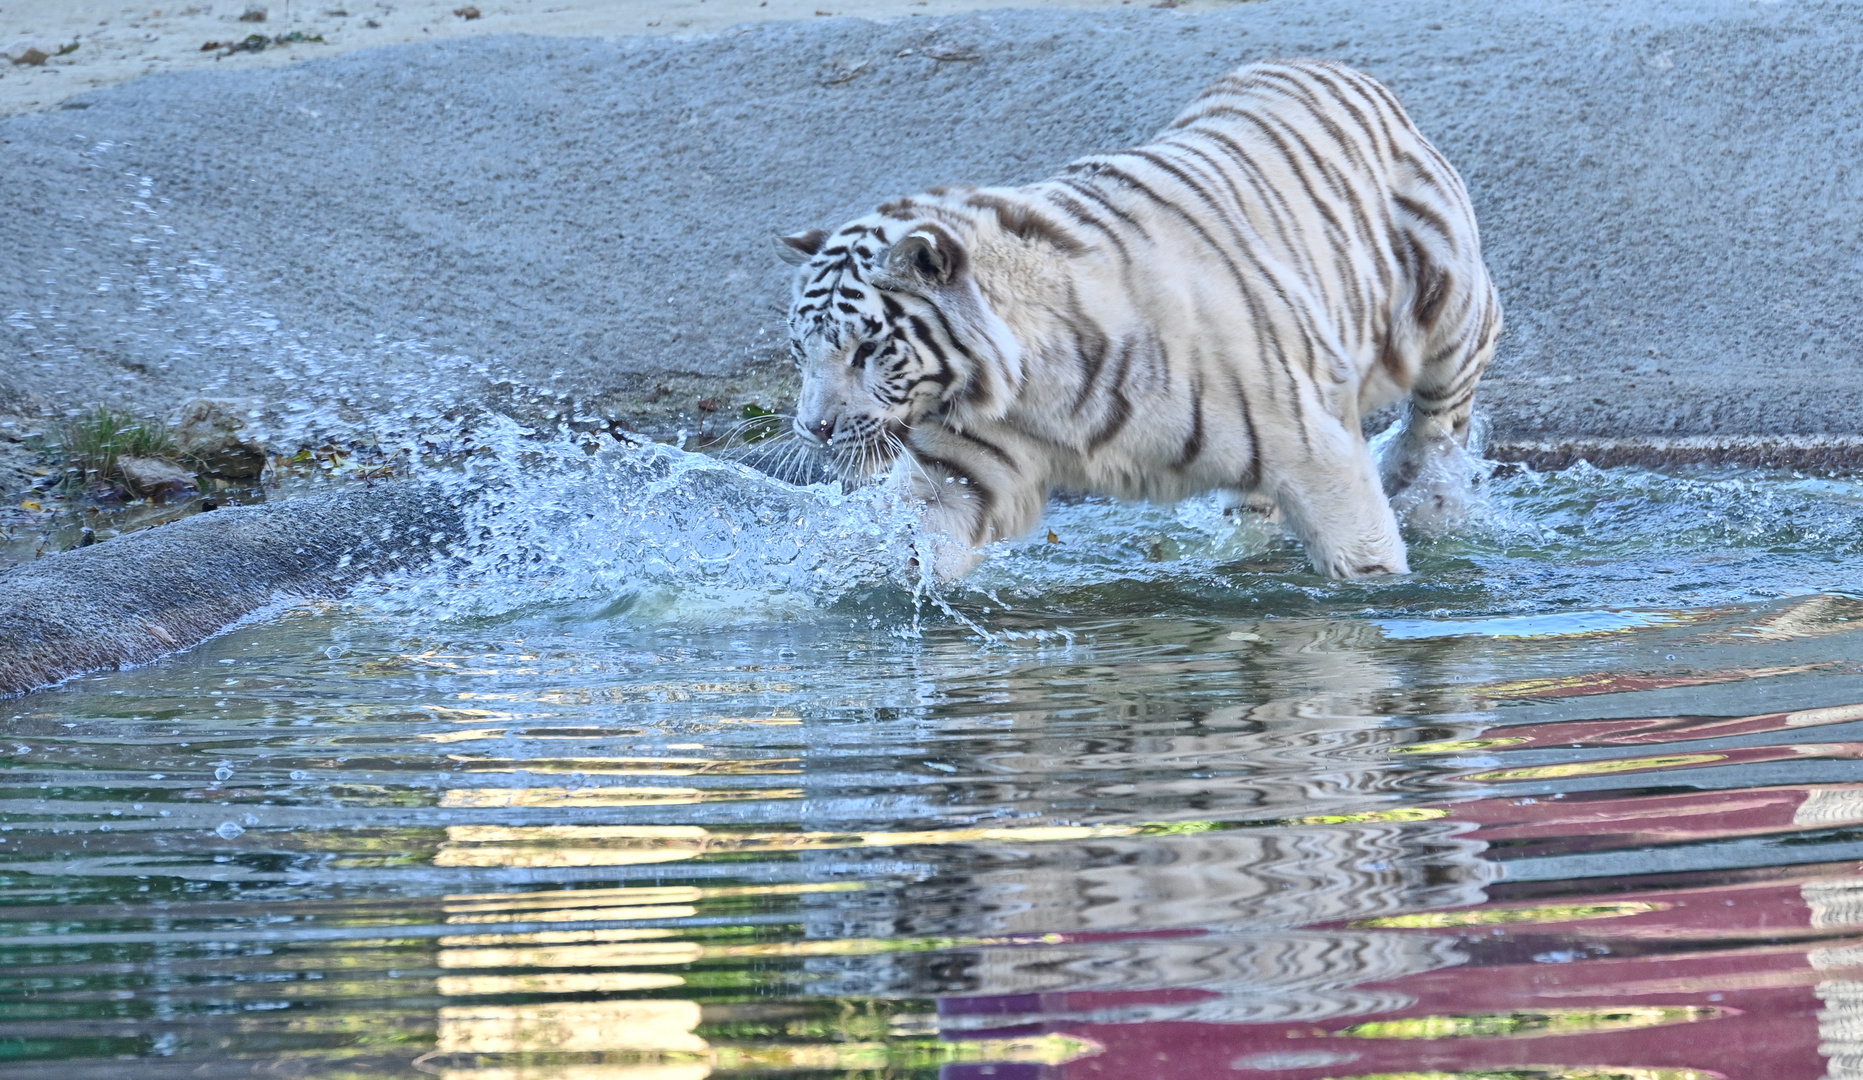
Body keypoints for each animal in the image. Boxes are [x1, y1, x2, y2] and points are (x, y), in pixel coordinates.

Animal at [778, 57, 1505, 580]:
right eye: (802, 353)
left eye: (866, 350)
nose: (814, 431)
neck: (1029, 386)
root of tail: (1326, 66)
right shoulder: (965, 466)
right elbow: (925, 540)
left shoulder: (1312, 448)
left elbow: (1360, 547)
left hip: (1448, 301)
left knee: (1444, 408)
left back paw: (1426, 494)